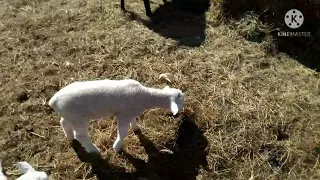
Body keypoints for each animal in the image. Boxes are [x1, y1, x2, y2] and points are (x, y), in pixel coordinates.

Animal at [48, 79, 185, 154]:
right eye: (181, 100)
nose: (184, 109)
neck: (146, 96)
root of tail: (53, 100)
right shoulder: (123, 114)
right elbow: (123, 132)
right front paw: (117, 147)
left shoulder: (130, 112)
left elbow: (133, 121)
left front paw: (136, 128)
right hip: (78, 118)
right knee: (81, 136)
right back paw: (94, 151)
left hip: (69, 115)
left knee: (63, 123)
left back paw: (70, 136)